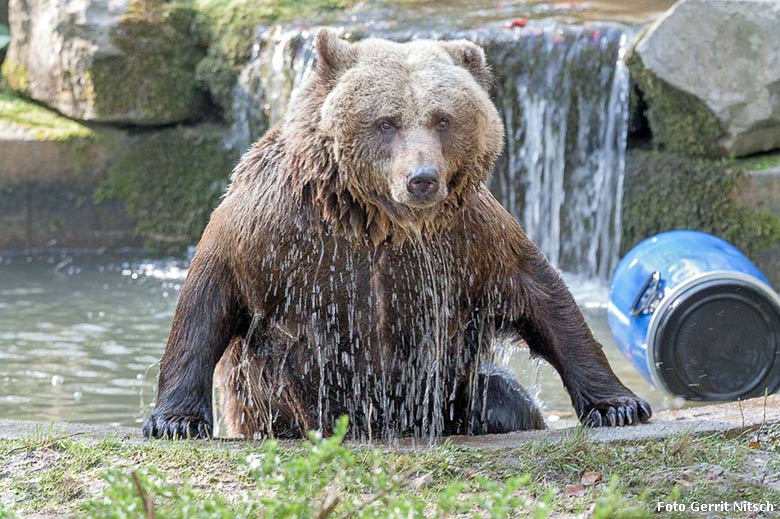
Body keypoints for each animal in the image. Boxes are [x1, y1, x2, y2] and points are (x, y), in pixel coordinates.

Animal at [143, 30, 648, 440]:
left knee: (504, 400)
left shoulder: (466, 241)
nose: (421, 178)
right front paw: (175, 420)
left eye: (443, 119)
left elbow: (542, 295)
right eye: (387, 121)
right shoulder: (274, 234)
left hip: (451, 393)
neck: (378, 222)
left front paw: (618, 405)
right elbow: (209, 297)